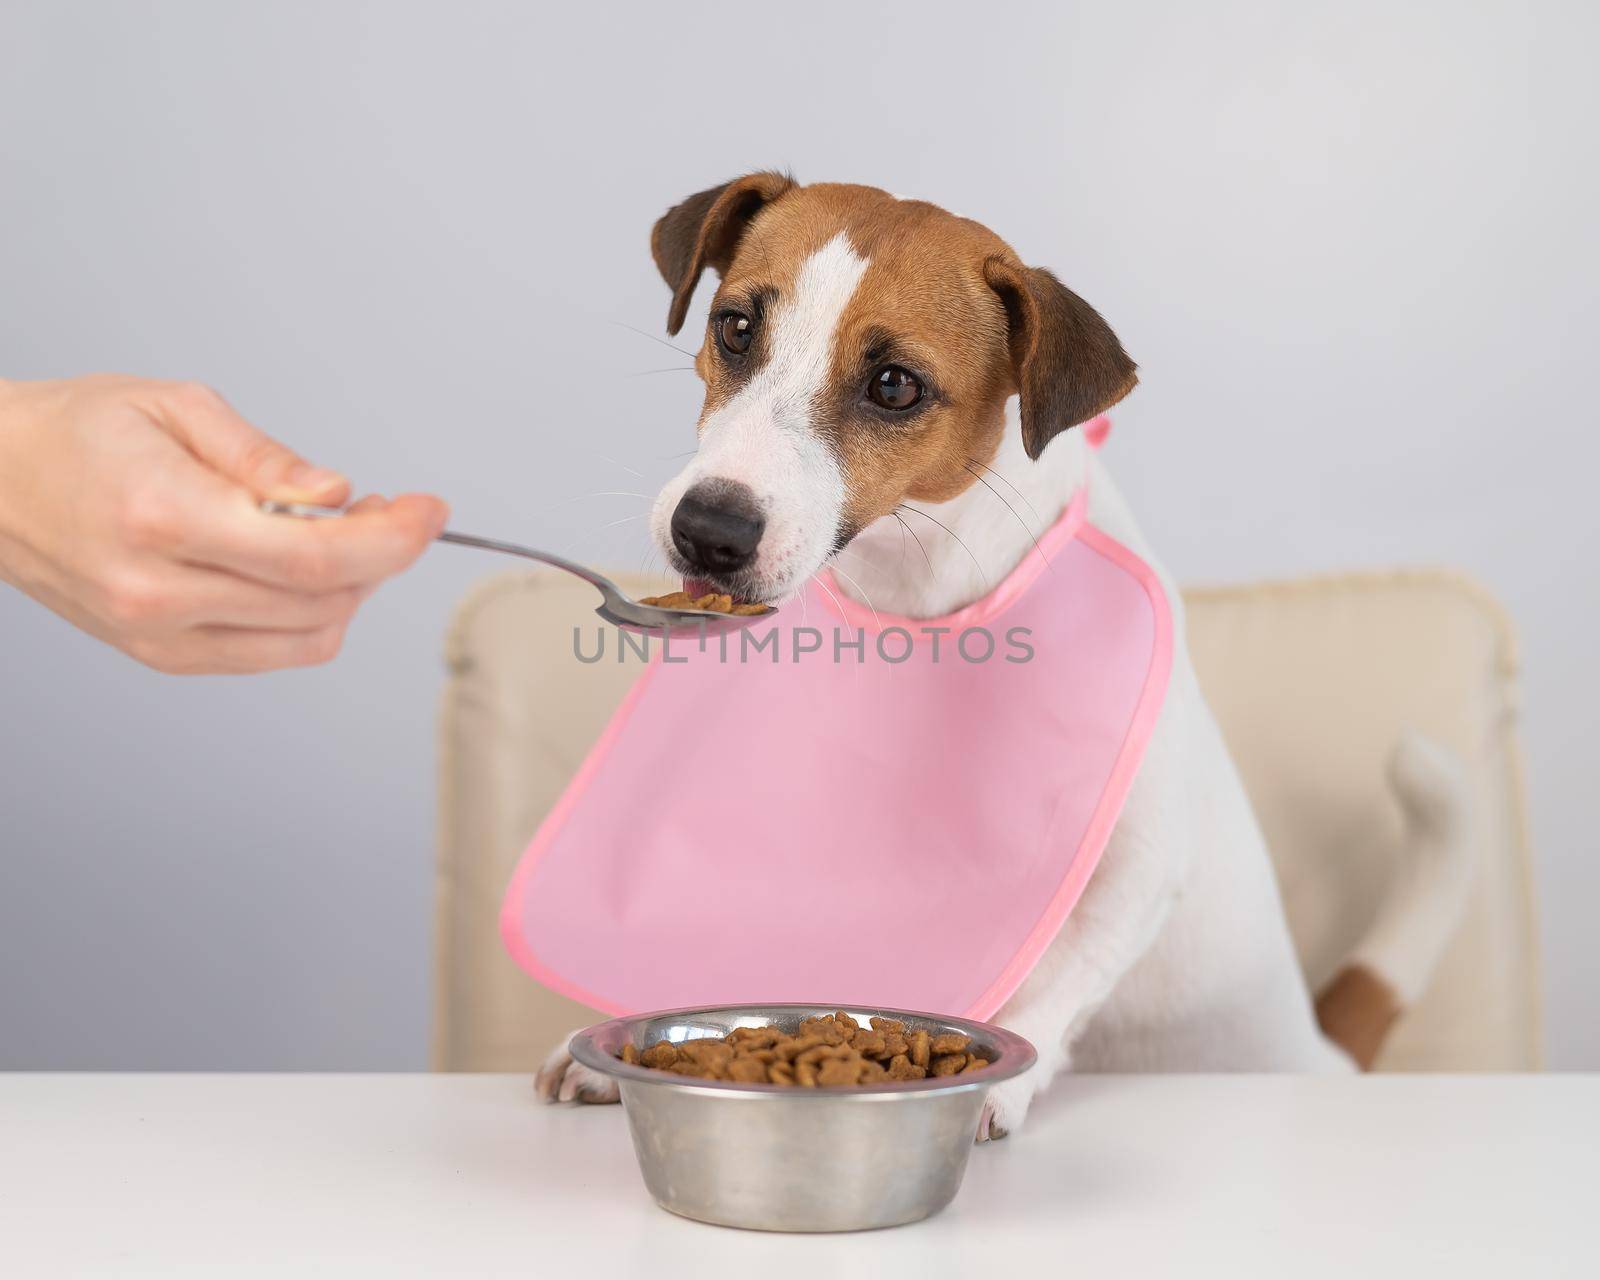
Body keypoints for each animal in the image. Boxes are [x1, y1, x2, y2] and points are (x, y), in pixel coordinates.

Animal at [531, 172, 1465, 1139]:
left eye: (894, 385)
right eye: (736, 326)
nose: (707, 530)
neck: (912, 578)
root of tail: (1321, 1054)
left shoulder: (1139, 860)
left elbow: (1059, 976)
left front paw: (999, 1077)